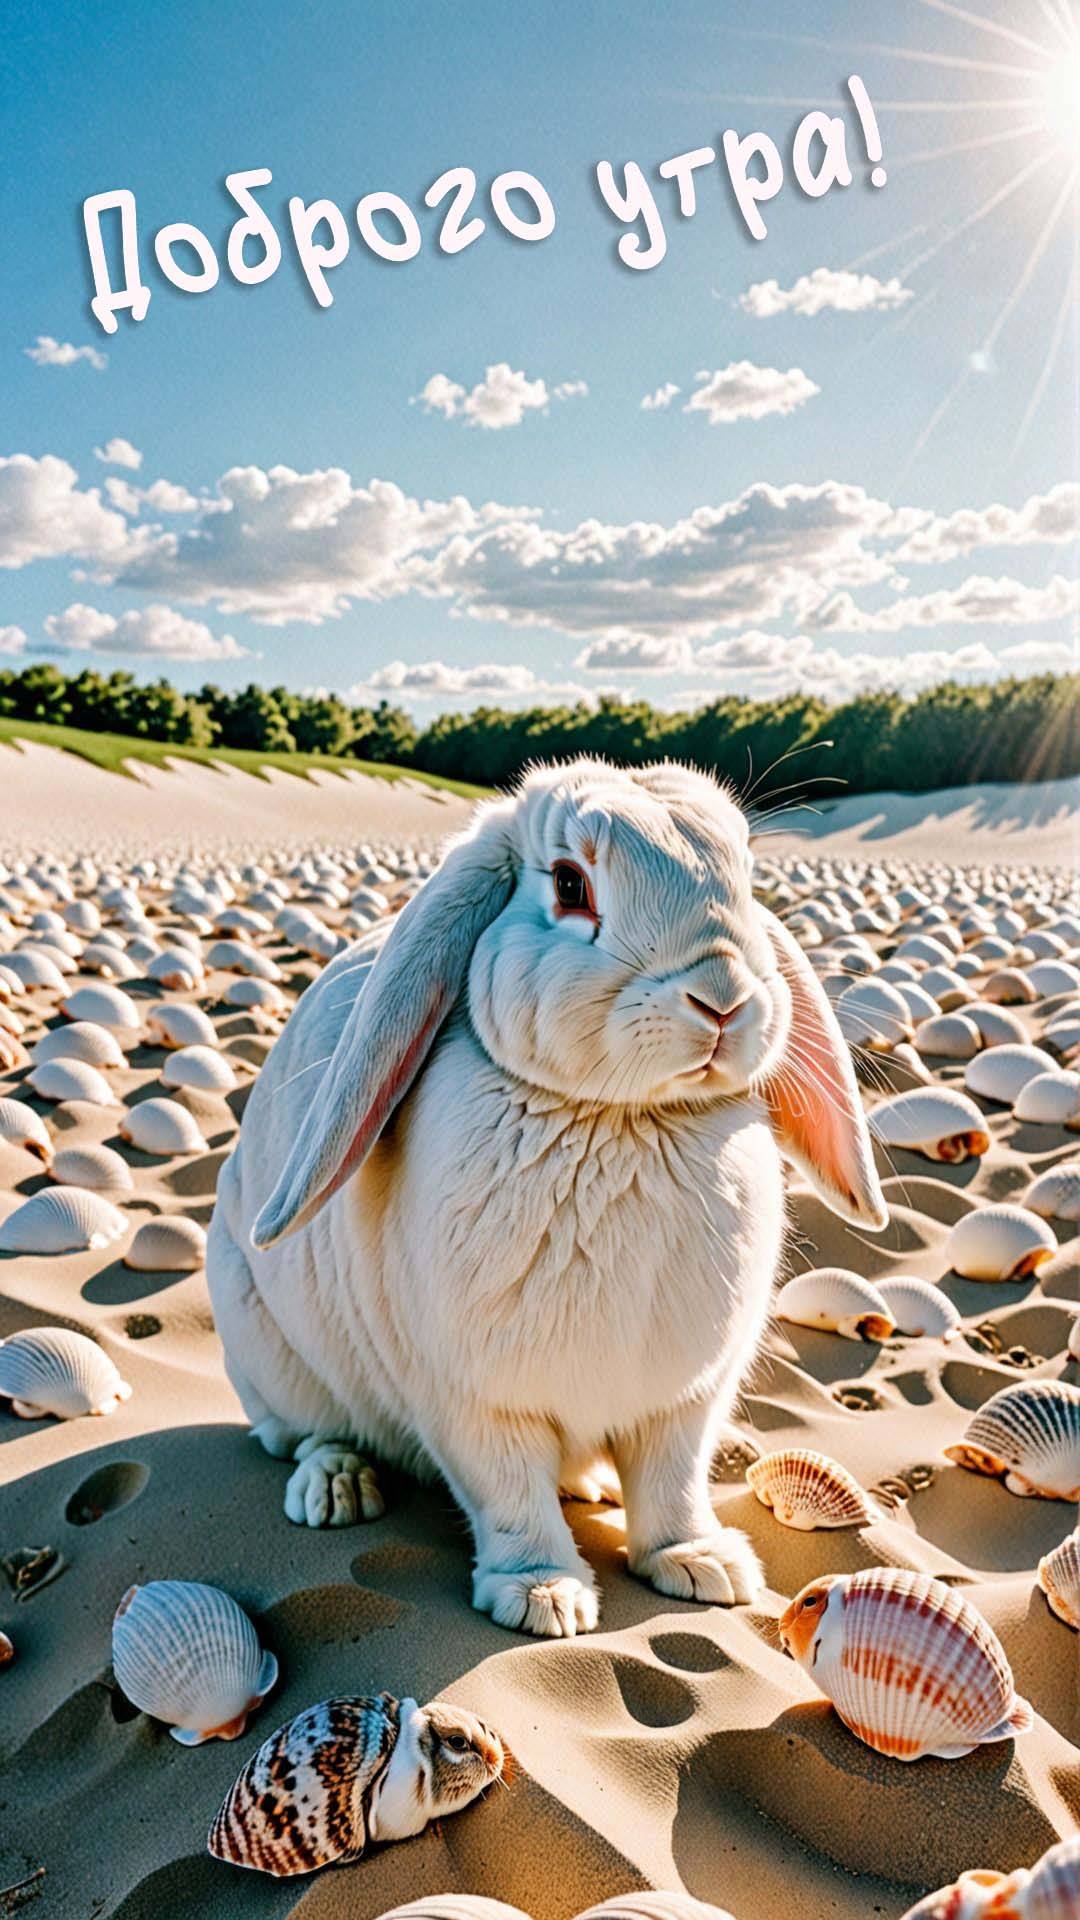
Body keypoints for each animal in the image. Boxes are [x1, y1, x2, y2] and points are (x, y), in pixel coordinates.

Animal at [207, 759, 886, 1638]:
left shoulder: (687, 1399)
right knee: (304, 1436)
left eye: (744, 872)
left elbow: (672, 1481)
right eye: (570, 884)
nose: (724, 998)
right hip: (272, 1357)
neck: (622, 1117)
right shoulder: (474, 1401)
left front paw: (703, 1567)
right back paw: (336, 1491)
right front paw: (544, 1598)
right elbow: (506, 1492)